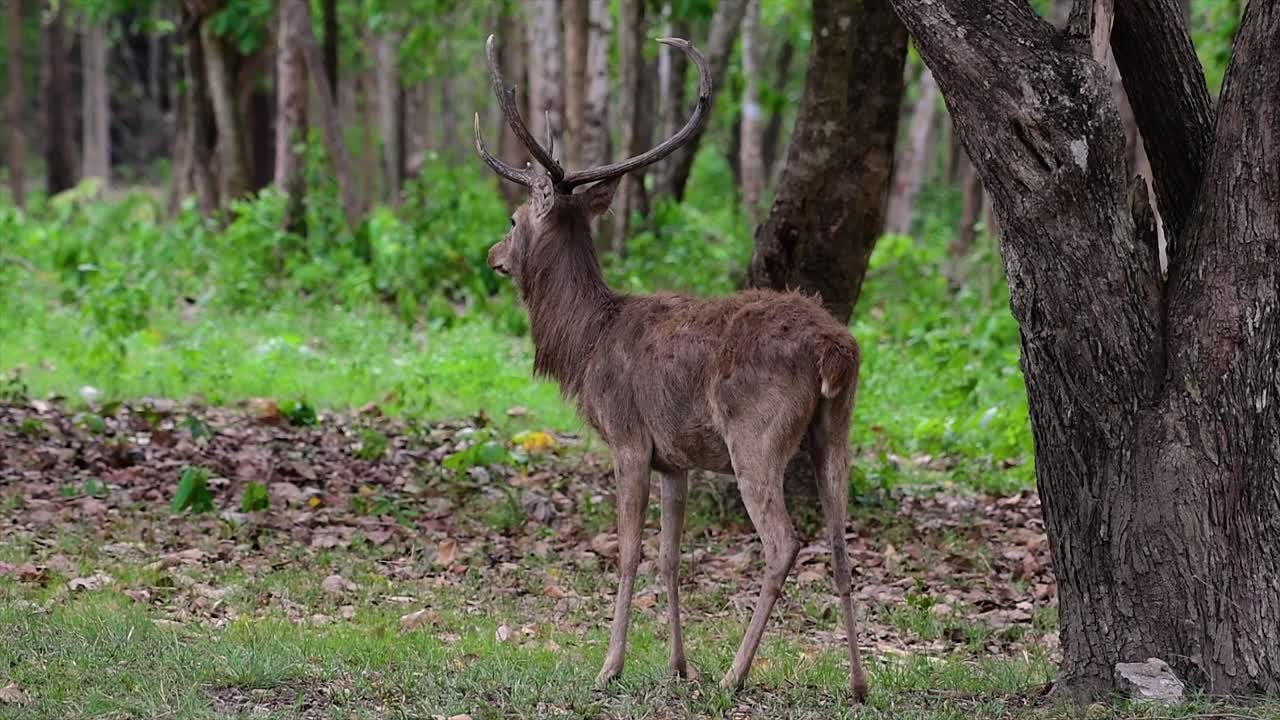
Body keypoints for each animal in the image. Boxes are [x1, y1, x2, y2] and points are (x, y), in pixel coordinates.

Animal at [473, 34, 870, 702]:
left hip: (755, 435)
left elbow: (630, 551)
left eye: (512, 219)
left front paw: (610, 665)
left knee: (784, 543)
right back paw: (860, 684)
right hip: (834, 428)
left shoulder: (629, 438)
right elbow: (670, 557)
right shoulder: (675, 458)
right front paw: (678, 665)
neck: (586, 344)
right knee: (841, 542)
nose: (492, 255)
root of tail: (835, 349)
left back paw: (735, 675)